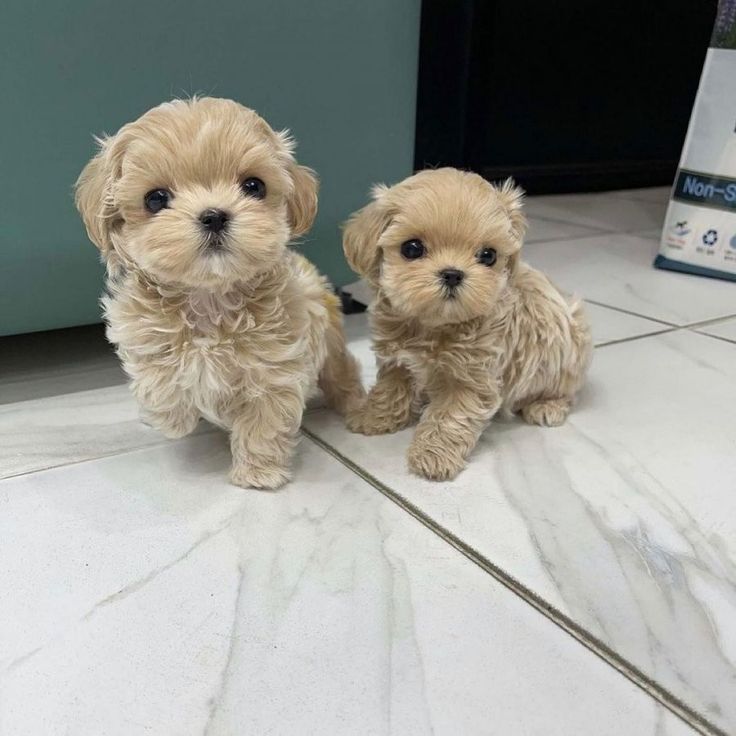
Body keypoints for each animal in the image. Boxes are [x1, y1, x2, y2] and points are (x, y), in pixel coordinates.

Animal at [76, 96, 364, 488]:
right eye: (155, 199)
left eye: (254, 186)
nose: (213, 215)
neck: (208, 298)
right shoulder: (143, 338)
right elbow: (160, 385)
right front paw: (175, 421)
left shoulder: (275, 371)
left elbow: (264, 422)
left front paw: (258, 473)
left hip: (330, 343)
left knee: (342, 372)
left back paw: (356, 406)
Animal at [344, 170, 592, 486]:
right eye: (412, 248)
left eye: (488, 255)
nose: (452, 274)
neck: (433, 325)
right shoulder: (395, 362)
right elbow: (390, 391)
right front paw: (373, 417)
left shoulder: (472, 379)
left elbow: (450, 417)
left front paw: (432, 456)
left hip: (567, 354)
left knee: (566, 390)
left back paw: (547, 407)